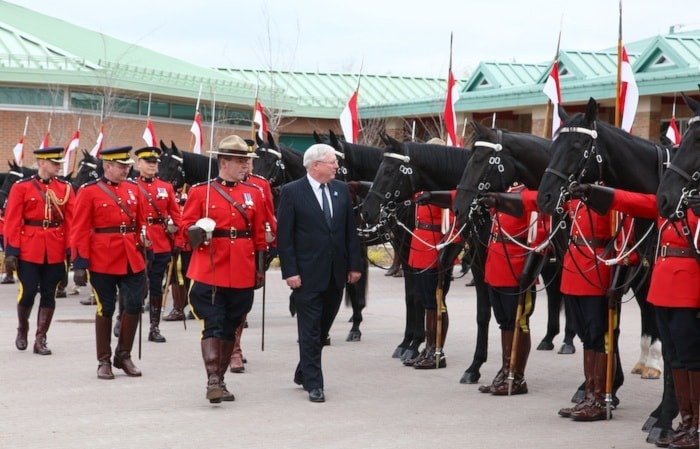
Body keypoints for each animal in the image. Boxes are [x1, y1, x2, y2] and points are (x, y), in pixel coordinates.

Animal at [360, 136, 492, 382]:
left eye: (389, 170)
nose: (366, 211)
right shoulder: (408, 254)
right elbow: (415, 297)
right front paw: (413, 345)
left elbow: (425, 299)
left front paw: (415, 346)